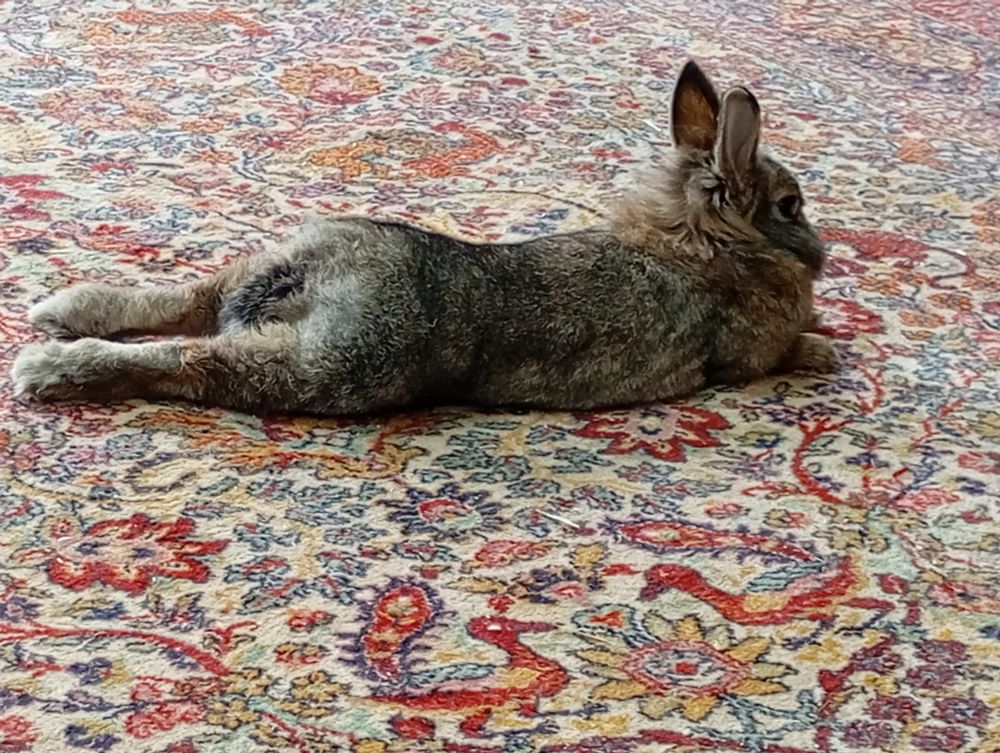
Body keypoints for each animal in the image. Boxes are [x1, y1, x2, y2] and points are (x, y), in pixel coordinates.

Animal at [11, 60, 838, 415]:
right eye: (790, 204)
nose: (825, 253)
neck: (701, 242)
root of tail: (309, 277)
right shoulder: (747, 351)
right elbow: (777, 353)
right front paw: (823, 348)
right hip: (321, 368)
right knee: (185, 357)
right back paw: (49, 369)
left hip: (275, 281)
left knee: (184, 303)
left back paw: (62, 311)